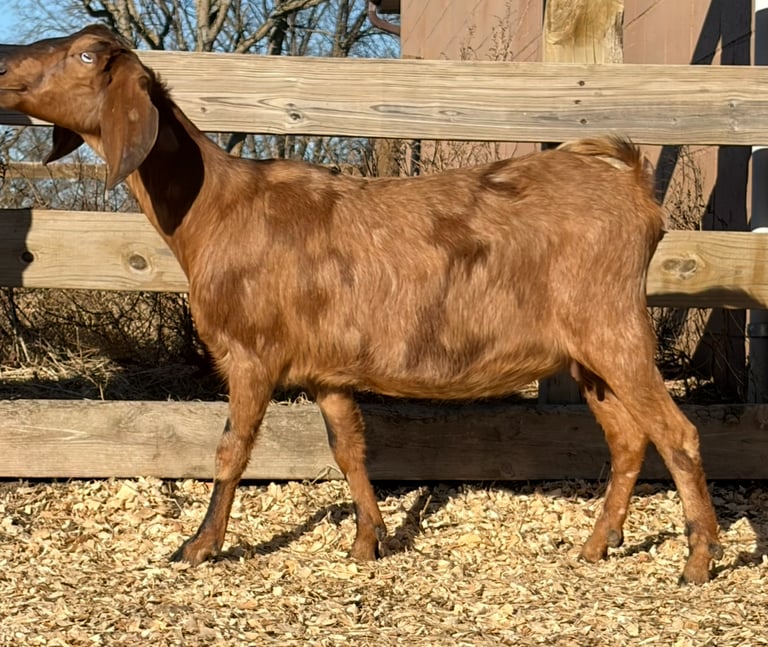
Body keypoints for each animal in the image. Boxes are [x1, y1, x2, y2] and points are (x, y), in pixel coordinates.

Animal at [0, 25, 722, 583]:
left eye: (87, 56)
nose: (4, 66)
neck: (216, 210)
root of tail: (632, 184)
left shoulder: (252, 353)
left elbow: (232, 449)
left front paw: (199, 545)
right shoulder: (328, 370)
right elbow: (348, 446)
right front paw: (368, 540)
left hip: (614, 328)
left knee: (677, 432)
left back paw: (698, 559)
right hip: (588, 352)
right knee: (628, 437)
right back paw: (596, 545)